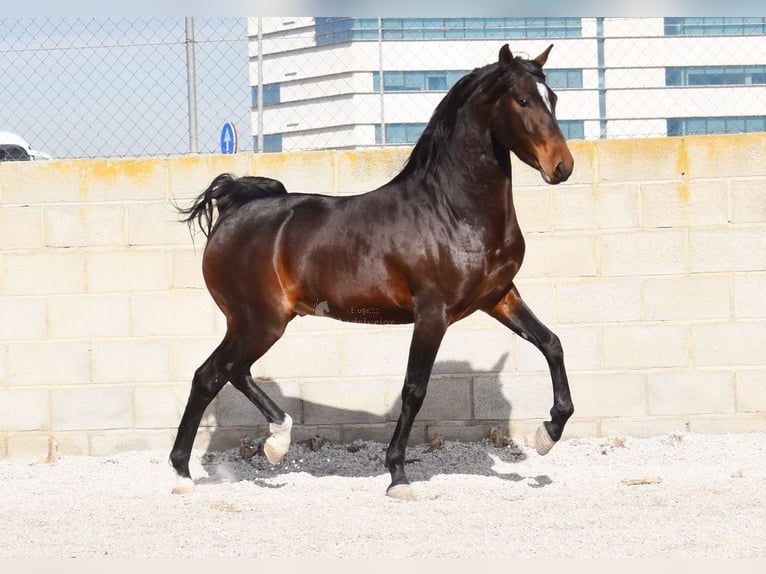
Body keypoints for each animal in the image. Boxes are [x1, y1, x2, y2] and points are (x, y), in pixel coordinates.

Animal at [170, 42, 576, 502]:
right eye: (522, 100)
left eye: (552, 97)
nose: (562, 166)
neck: (453, 210)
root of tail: (232, 209)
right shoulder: (432, 313)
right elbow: (414, 389)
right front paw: (398, 475)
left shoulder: (500, 296)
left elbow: (552, 344)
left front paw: (548, 434)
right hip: (260, 322)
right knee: (209, 376)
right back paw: (185, 473)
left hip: (253, 323)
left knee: (231, 372)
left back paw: (275, 442)